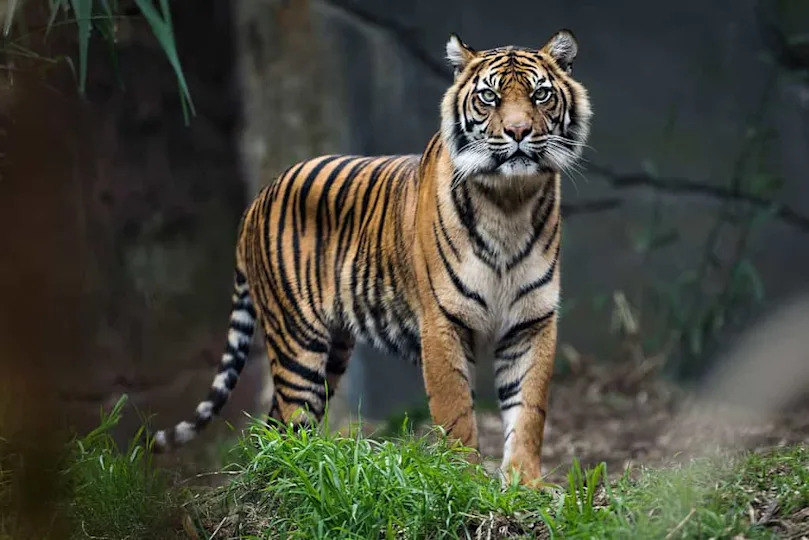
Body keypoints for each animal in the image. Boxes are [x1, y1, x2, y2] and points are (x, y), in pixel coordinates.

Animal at [153, 29, 592, 486]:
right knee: (289, 417)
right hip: (297, 342)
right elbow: (456, 414)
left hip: (333, 349)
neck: (509, 202)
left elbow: (529, 410)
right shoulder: (442, 323)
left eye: (541, 94)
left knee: (275, 423)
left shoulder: (532, 322)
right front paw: (464, 482)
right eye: (489, 97)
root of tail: (256, 200)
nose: (518, 130)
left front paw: (525, 484)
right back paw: (296, 476)